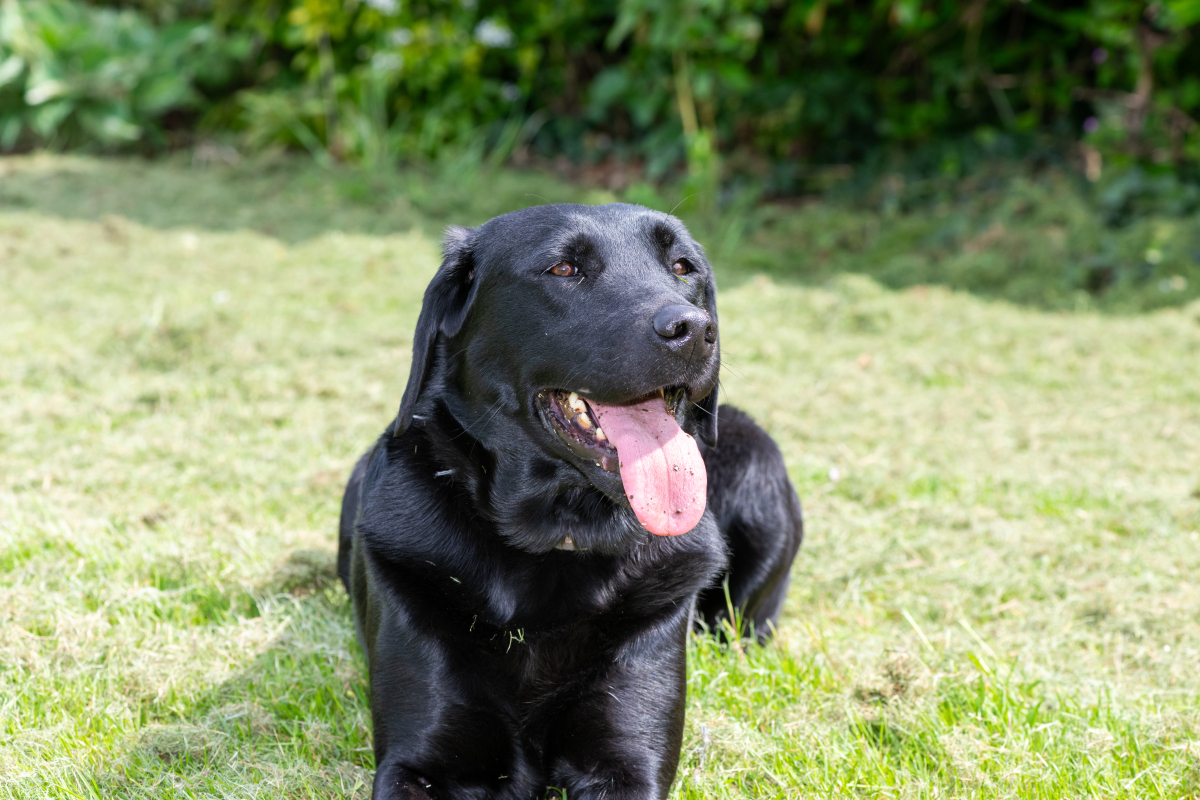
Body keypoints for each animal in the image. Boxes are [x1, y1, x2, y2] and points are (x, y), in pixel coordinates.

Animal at [338, 205, 801, 800]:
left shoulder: (628, 763)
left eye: (683, 267)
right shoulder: (416, 764)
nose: (695, 331)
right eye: (564, 268)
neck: (557, 536)